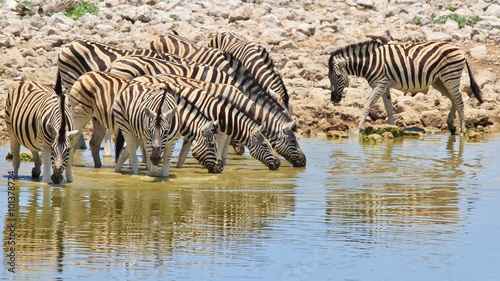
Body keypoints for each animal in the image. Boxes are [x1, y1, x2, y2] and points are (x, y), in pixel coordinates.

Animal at [326, 39, 482, 136]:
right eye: (328, 77)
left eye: (338, 76)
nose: (334, 99)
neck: (370, 62)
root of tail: (460, 50)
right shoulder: (385, 86)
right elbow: (389, 108)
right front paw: (392, 128)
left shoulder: (380, 84)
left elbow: (368, 105)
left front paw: (358, 130)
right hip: (439, 81)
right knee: (454, 99)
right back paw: (451, 125)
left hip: (450, 77)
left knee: (459, 101)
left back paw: (462, 131)